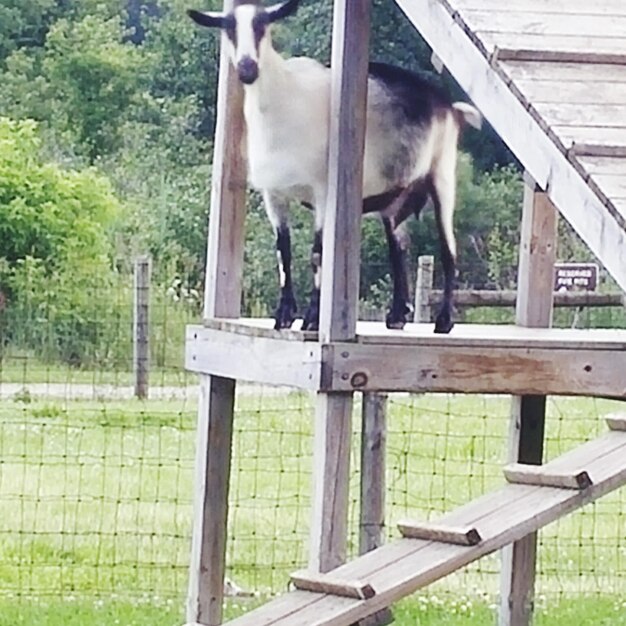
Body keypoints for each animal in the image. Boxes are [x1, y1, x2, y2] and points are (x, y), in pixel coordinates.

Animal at [188, 0, 480, 334]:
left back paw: (443, 321)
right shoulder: (273, 194)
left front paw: (313, 319)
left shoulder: (323, 192)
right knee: (399, 248)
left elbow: (318, 254)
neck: (285, 101)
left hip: (443, 173)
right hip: (396, 198)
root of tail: (448, 106)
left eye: (263, 26)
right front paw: (283, 316)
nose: (248, 69)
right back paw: (397, 316)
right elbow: (283, 251)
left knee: (448, 248)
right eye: (229, 29)